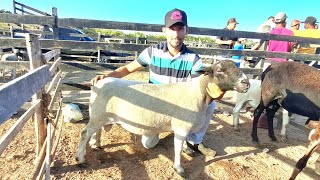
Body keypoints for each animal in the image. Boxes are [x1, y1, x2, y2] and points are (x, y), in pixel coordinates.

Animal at [75, 60, 250, 177]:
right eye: (220, 71)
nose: (246, 83)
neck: (197, 93)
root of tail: (99, 83)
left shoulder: (184, 126)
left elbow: (184, 143)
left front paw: (188, 150)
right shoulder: (181, 126)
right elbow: (177, 149)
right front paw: (179, 168)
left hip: (101, 116)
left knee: (95, 131)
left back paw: (96, 144)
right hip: (97, 115)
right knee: (84, 133)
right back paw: (80, 158)